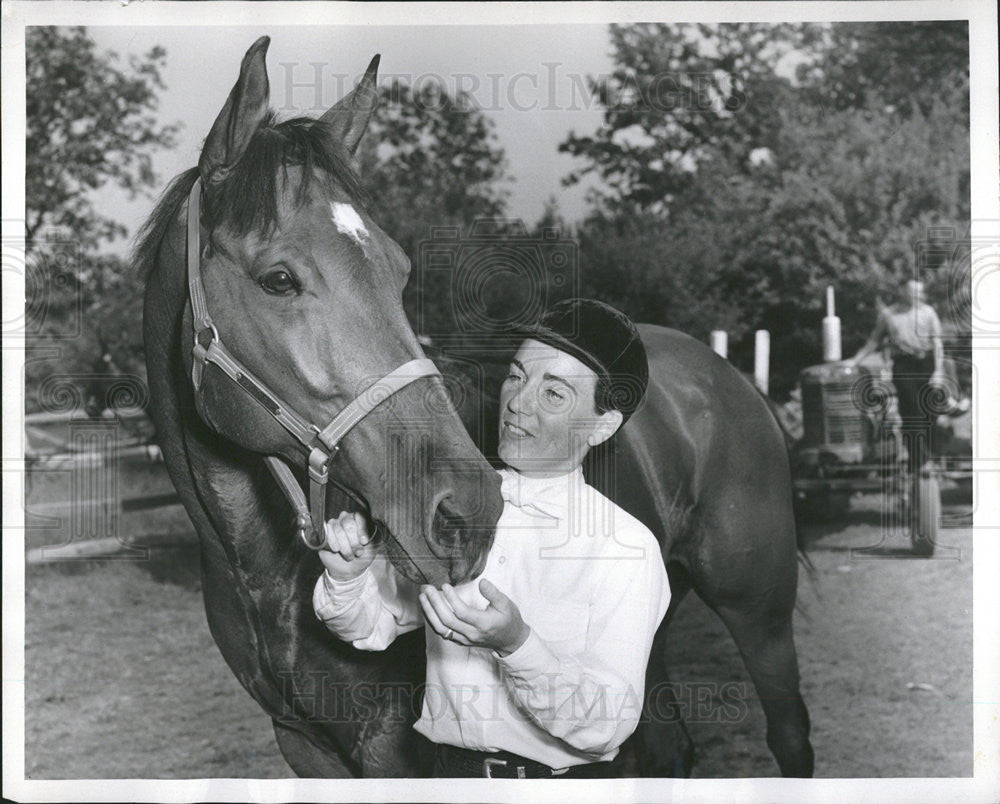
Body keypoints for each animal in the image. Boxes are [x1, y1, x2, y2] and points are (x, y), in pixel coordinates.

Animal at [139, 39, 812, 780]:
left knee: (789, 735)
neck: (259, 570)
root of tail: (724, 375)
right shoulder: (303, 744)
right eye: (278, 279)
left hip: (759, 610)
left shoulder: (394, 750)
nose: (468, 512)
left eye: (401, 270)